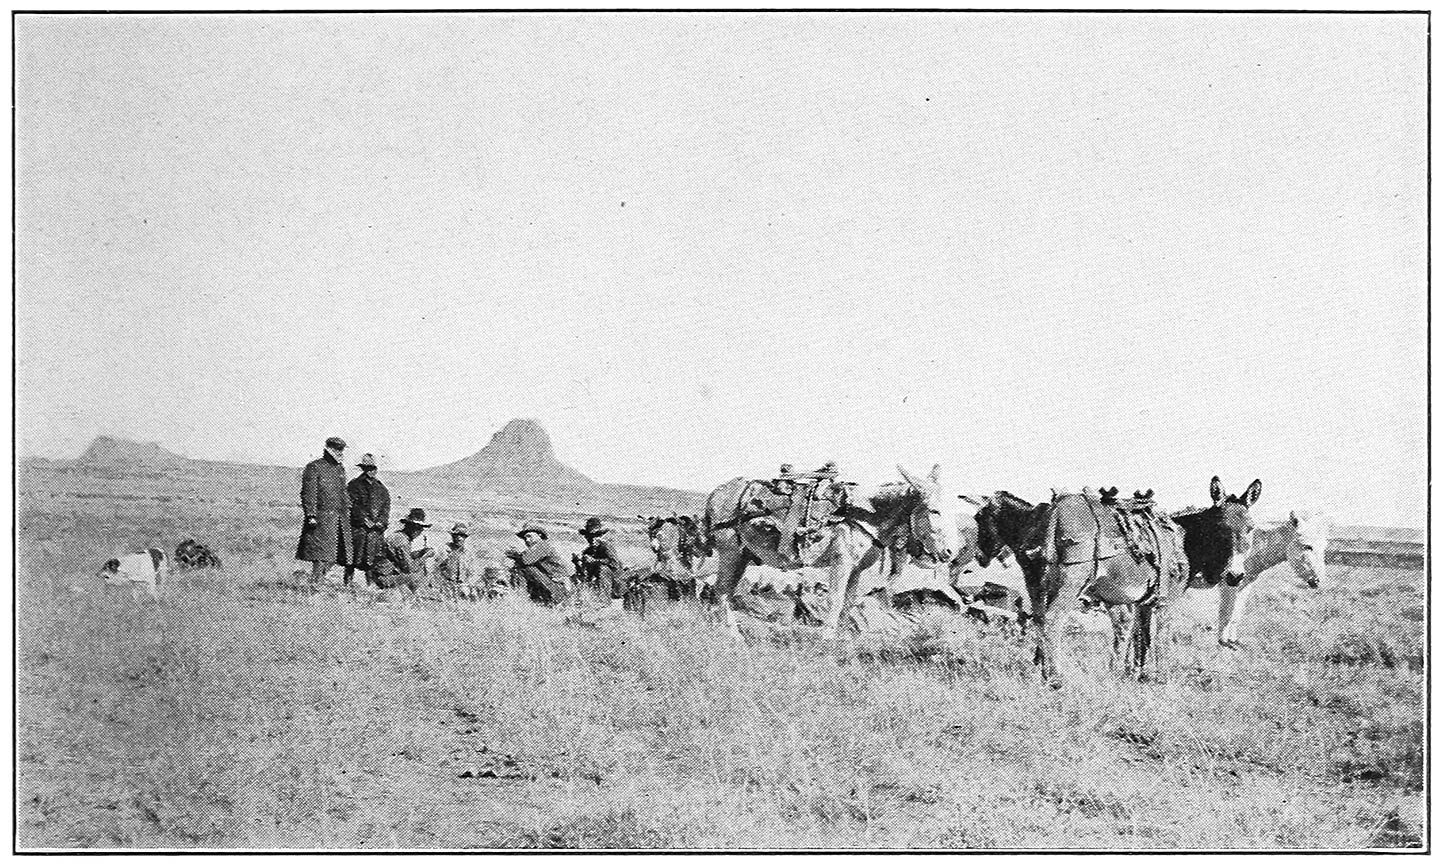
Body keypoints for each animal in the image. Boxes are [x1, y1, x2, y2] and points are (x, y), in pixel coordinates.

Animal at [699, 463, 961, 636]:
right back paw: (732, 635)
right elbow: (834, 599)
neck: (866, 514)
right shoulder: (840, 563)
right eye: (934, 511)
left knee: (724, 591)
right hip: (730, 552)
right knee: (721, 590)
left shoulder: (856, 570)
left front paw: (841, 636)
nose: (950, 553)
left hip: (743, 556)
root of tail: (717, 491)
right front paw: (827, 637)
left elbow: (848, 602)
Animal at [967, 474, 1261, 685]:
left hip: (1038, 582)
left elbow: (1140, 636)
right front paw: (1161, 678)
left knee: (1038, 617)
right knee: (1052, 620)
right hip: (1071, 583)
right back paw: (1055, 678)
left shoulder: (1140, 601)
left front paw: (1133, 673)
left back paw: (1044, 670)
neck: (1185, 538)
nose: (1235, 576)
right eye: (1222, 529)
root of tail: (1057, 510)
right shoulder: (1166, 602)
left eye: (1250, 529)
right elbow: (1161, 639)